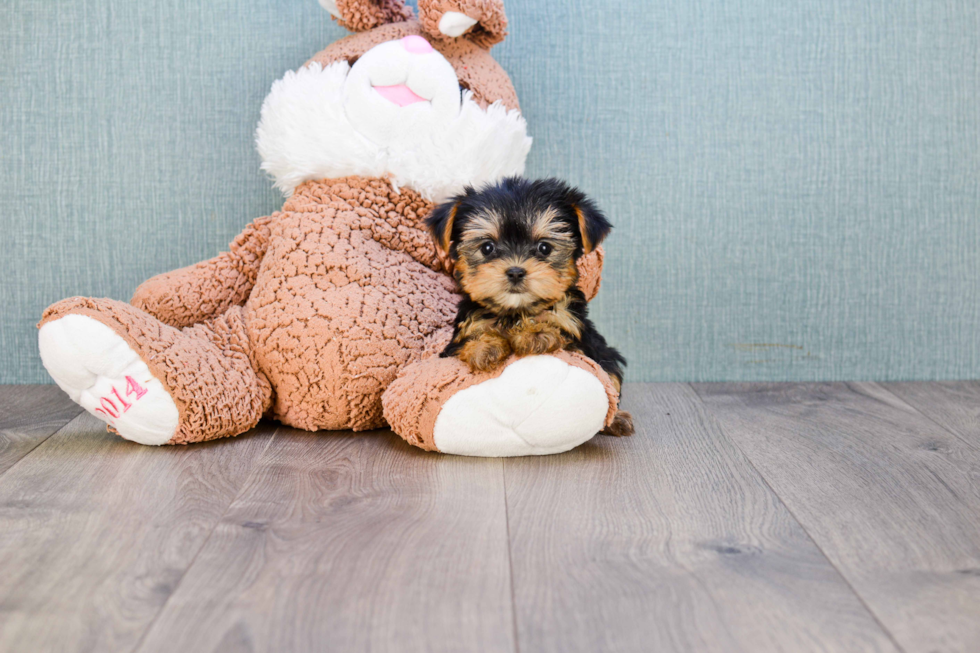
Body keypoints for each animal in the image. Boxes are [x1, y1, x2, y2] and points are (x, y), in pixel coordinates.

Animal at [428, 176, 636, 436]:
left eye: (544, 248)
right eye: (487, 247)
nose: (516, 271)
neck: (516, 310)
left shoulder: (580, 341)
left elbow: (560, 332)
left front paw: (535, 333)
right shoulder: (457, 340)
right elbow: (468, 342)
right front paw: (484, 346)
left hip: (606, 355)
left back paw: (617, 419)